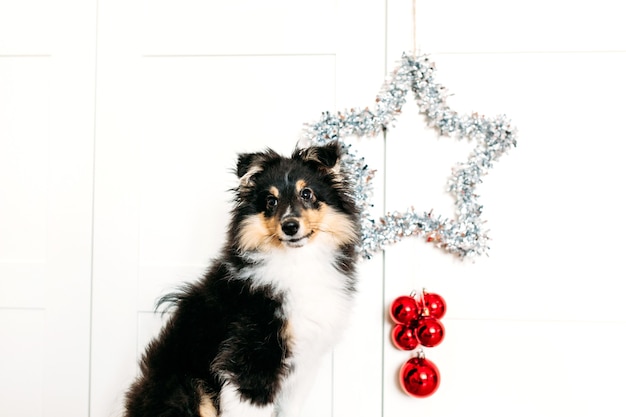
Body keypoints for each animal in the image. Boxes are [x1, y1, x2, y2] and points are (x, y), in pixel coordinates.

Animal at [123, 141, 358, 416]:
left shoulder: (303, 364)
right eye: (270, 201)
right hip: (188, 388)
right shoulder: (250, 359)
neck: (296, 261)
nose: (290, 226)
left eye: (307, 193)